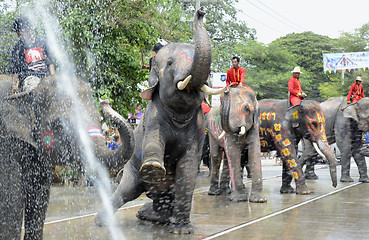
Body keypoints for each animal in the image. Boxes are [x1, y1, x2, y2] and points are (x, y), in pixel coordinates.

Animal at [0, 75, 134, 240]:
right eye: (60, 125)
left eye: (98, 118)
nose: (105, 101)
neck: (26, 91)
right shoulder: (7, 144)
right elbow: (11, 201)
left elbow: (39, 197)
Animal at [93, 7, 223, 234]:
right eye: (170, 63)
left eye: (209, 71)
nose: (200, 11)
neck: (179, 113)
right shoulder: (152, 115)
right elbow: (154, 139)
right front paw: (153, 169)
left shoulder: (199, 126)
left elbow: (188, 169)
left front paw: (182, 231)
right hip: (130, 170)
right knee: (126, 191)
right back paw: (101, 222)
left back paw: (150, 216)